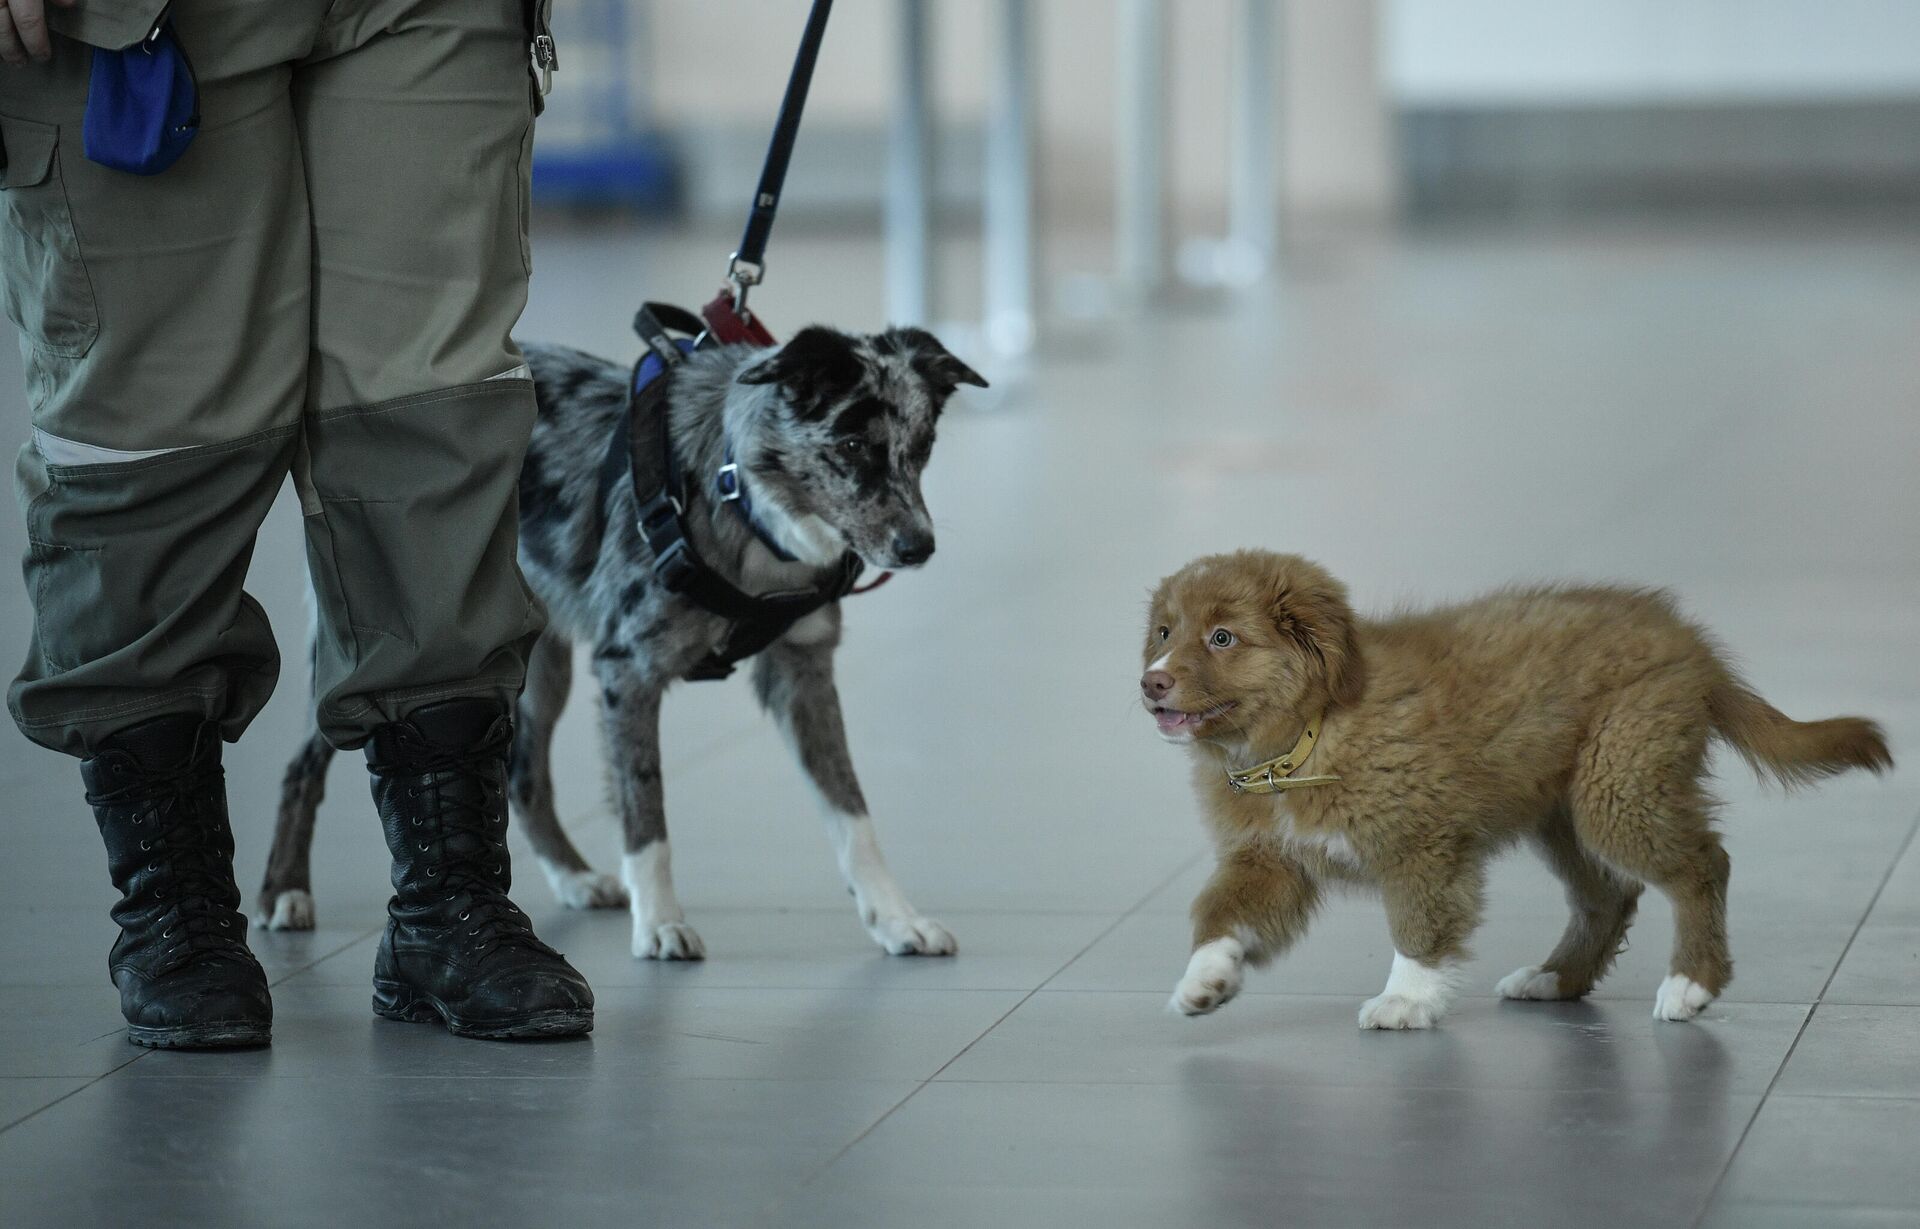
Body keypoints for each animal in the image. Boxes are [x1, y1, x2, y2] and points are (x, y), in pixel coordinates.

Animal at [263, 324, 983, 960]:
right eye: (854, 443)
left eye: (923, 445)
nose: (919, 546)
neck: (736, 492)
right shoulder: (629, 671)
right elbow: (645, 809)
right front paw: (660, 923)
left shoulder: (801, 673)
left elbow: (853, 813)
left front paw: (896, 919)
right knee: (301, 767)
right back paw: (285, 893)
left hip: (533, 665)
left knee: (525, 774)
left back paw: (575, 877)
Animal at [1136, 553, 1889, 1029]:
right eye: (1165, 632)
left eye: (1223, 637)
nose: (1151, 680)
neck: (1297, 743)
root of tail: (1694, 648)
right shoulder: (1270, 860)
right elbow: (1221, 909)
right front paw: (1205, 979)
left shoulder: (1423, 843)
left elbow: (1419, 925)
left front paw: (1407, 1000)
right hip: (1565, 812)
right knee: (1609, 894)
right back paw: (1555, 978)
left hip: (1619, 780)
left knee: (1703, 864)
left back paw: (1691, 983)